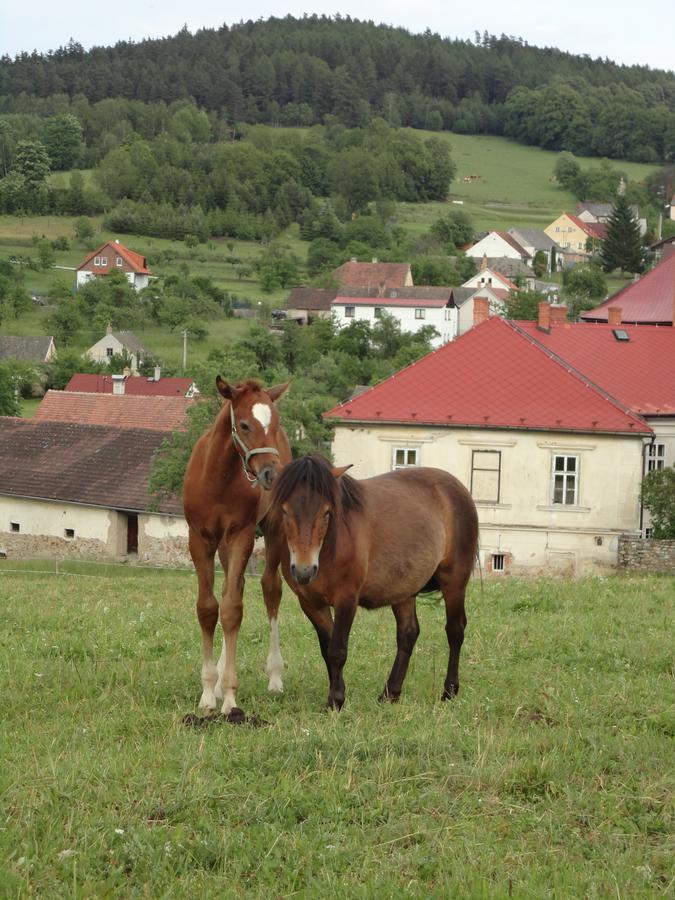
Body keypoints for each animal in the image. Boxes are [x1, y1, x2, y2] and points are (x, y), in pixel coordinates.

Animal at [185, 376, 290, 712]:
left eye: (275, 423)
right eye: (244, 425)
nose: (272, 474)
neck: (218, 479)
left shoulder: (241, 534)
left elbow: (232, 609)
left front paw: (230, 697)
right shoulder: (200, 538)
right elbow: (209, 607)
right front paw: (209, 692)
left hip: (273, 530)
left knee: (271, 588)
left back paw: (275, 675)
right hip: (222, 545)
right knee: (233, 587)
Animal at [266, 458, 478, 712]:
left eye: (326, 512)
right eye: (285, 510)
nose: (304, 571)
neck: (330, 547)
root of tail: (458, 489)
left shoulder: (347, 599)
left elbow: (337, 650)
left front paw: (336, 700)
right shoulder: (310, 603)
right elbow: (327, 649)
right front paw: (336, 695)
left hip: (454, 581)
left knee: (455, 631)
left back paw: (449, 691)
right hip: (403, 589)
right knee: (408, 633)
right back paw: (390, 692)